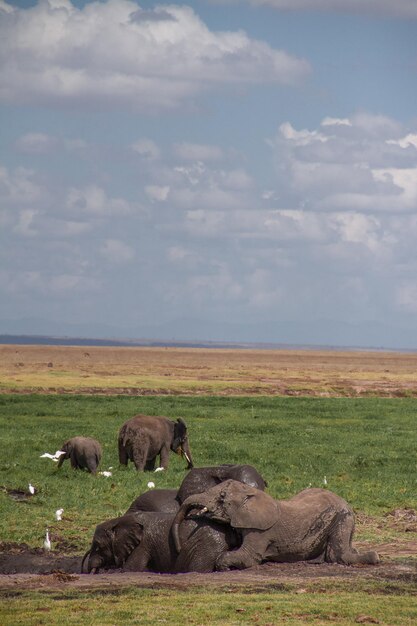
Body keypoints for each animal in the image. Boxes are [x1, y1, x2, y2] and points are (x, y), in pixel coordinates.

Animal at [171, 478, 378, 572]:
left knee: (340, 554)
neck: (251, 493)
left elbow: (249, 557)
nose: (179, 547)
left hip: (342, 517)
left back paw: (374, 557)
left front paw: (224, 568)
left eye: (222, 497)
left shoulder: (260, 532)